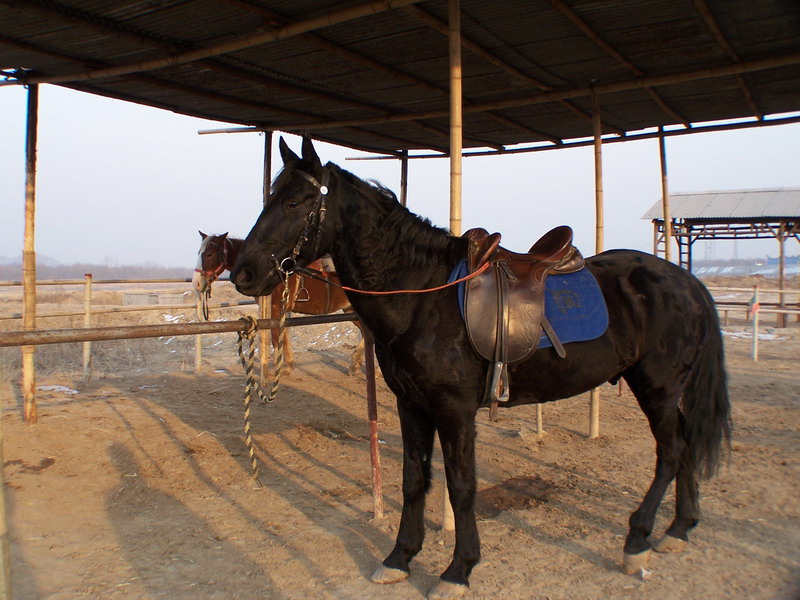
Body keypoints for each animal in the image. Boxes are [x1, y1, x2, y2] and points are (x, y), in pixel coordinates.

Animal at [231, 137, 732, 600]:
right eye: (271, 195)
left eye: (295, 201)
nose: (243, 273)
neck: (422, 294)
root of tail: (686, 281)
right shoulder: (412, 405)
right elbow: (414, 480)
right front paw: (399, 557)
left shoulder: (454, 410)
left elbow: (461, 485)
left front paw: (458, 569)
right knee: (686, 444)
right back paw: (679, 529)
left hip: (658, 387)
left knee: (671, 451)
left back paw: (638, 541)